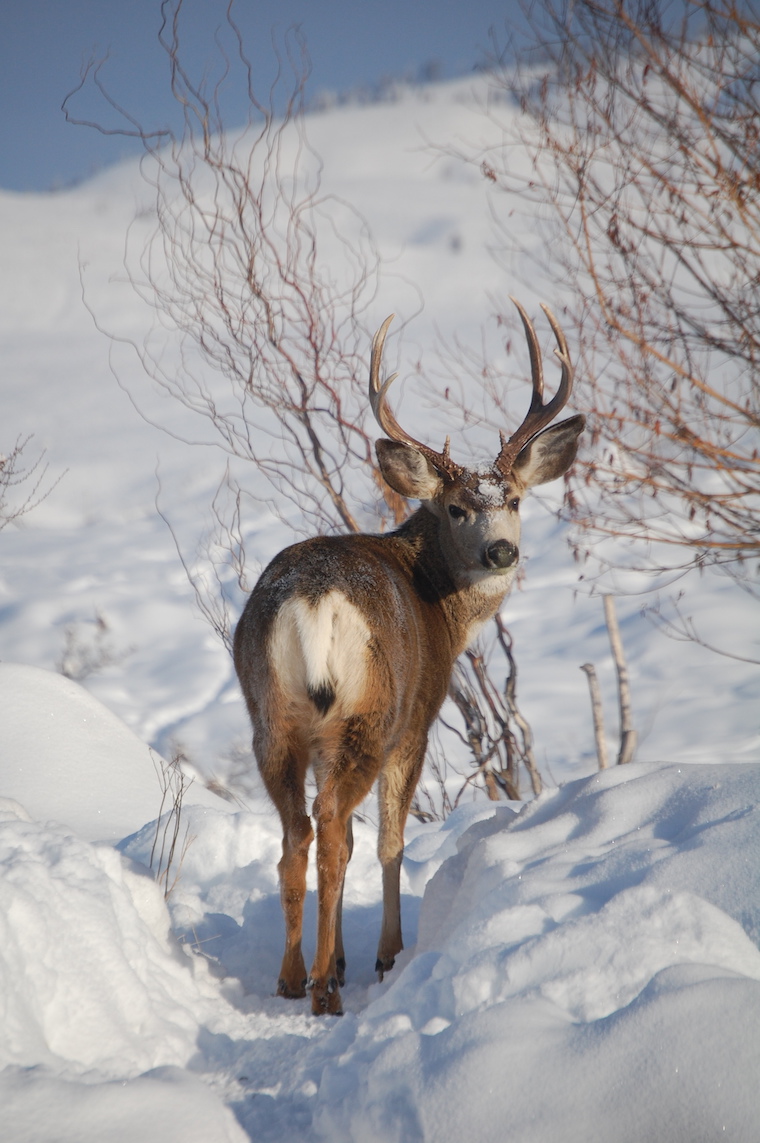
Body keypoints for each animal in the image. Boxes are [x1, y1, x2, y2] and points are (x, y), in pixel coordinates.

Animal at [233, 299, 584, 1015]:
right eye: (454, 507)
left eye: (512, 499)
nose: (501, 551)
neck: (439, 603)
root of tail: (313, 599)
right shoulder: (417, 722)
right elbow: (390, 841)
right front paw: (382, 954)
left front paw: (341, 957)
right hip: (372, 712)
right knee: (334, 827)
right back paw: (323, 989)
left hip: (272, 716)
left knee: (299, 834)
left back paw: (292, 976)